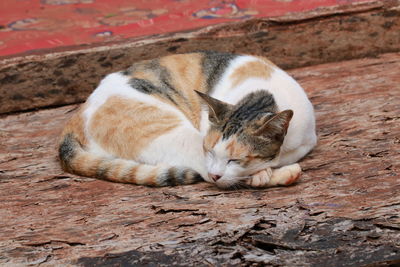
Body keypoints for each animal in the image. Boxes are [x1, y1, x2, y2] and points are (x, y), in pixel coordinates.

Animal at [58, 51, 316, 188]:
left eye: (235, 158)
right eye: (209, 150)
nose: (217, 170)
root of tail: (74, 122)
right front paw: (264, 172)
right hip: (177, 135)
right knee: (209, 175)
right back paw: (282, 174)